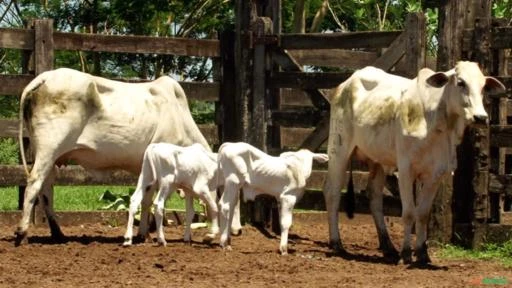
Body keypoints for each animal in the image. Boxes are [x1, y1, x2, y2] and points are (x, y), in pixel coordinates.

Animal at [14, 67, 242, 245]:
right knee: (34, 184)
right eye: (233, 199)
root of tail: (45, 77)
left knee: (46, 189)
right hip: (49, 148)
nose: (239, 230)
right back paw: (22, 233)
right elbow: (150, 199)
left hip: (51, 156)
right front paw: (146, 233)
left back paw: (58, 233)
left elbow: (147, 200)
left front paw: (144, 233)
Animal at [322, 62, 506, 264]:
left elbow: (423, 213)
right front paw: (406, 253)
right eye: (461, 82)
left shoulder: (436, 174)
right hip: (339, 150)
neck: (436, 122)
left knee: (374, 197)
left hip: (377, 160)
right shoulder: (405, 171)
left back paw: (388, 247)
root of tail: (344, 85)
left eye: (483, 87)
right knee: (332, 193)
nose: (480, 117)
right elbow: (409, 212)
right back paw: (336, 243)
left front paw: (422, 253)